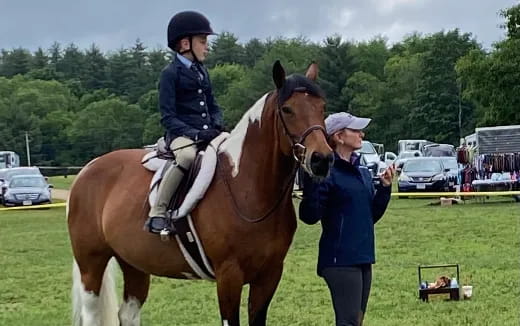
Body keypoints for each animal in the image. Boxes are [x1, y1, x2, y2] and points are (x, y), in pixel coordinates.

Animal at [68, 60, 334, 324]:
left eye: (322, 107)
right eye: (288, 109)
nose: (321, 159)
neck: (247, 190)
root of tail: (87, 170)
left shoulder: (269, 274)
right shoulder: (228, 276)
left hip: (134, 263)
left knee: (128, 313)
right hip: (91, 265)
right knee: (92, 313)